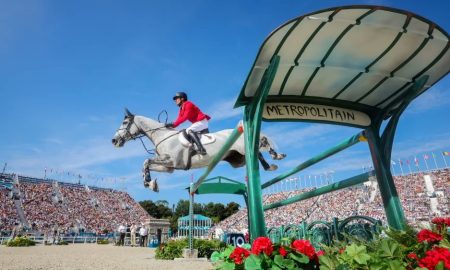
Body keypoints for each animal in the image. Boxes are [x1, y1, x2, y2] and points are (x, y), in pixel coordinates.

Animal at [112, 108, 284, 191]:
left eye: (125, 122)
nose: (114, 140)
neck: (162, 135)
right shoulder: (168, 168)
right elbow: (146, 164)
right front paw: (150, 183)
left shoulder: (171, 161)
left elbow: (146, 161)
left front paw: (149, 182)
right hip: (238, 159)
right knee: (256, 153)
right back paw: (270, 165)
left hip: (242, 147)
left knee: (260, 145)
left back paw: (275, 157)